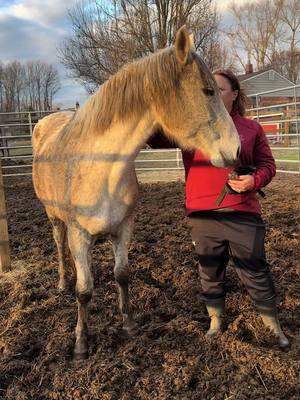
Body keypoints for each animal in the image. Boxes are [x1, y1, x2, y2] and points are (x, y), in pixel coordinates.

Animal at [31, 25, 240, 360]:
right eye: (208, 91)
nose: (236, 150)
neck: (101, 168)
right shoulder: (80, 234)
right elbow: (84, 291)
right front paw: (81, 344)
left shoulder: (124, 228)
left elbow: (122, 274)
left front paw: (128, 324)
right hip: (55, 218)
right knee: (60, 247)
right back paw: (63, 282)